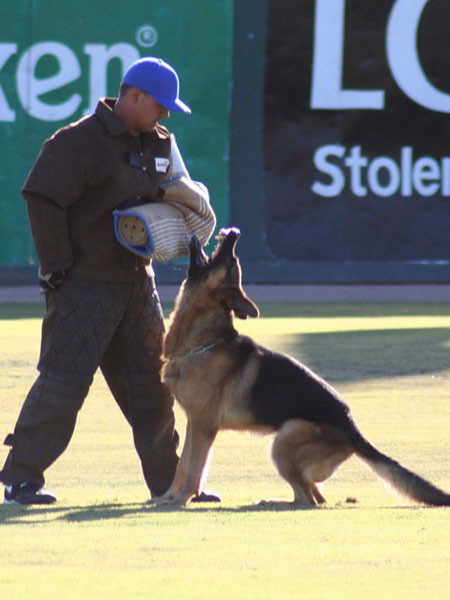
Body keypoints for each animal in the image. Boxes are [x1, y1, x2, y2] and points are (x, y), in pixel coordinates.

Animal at [155, 230, 450, 506]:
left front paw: (181, 499)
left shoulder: (203, 425)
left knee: (306, 498)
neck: (203, 341)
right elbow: (182, 466)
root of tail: (353, 431)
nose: (235, 233)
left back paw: (271, 501)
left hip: (283, 442)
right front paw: (167, 497)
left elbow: (192, 468)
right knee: (316, 495)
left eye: (230, 262)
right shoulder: (194, 422)